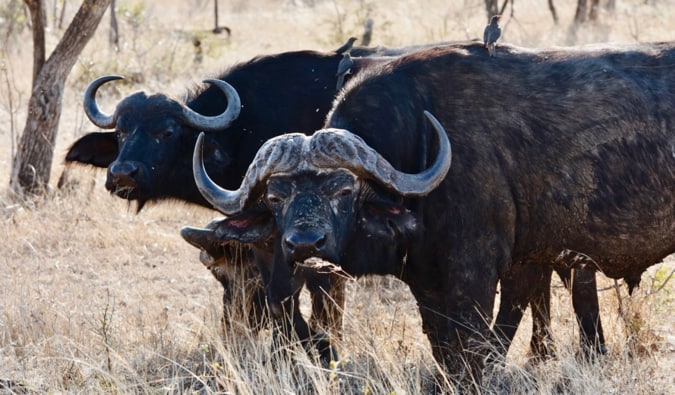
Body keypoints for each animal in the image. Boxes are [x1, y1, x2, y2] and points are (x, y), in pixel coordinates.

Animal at [189, 42, 675, 380]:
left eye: (344, 190)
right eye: (276, 197)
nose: (304, 244)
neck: (417, 145)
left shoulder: (473, 277)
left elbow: (472, 350)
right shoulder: (429, 284)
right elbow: (446, 350)